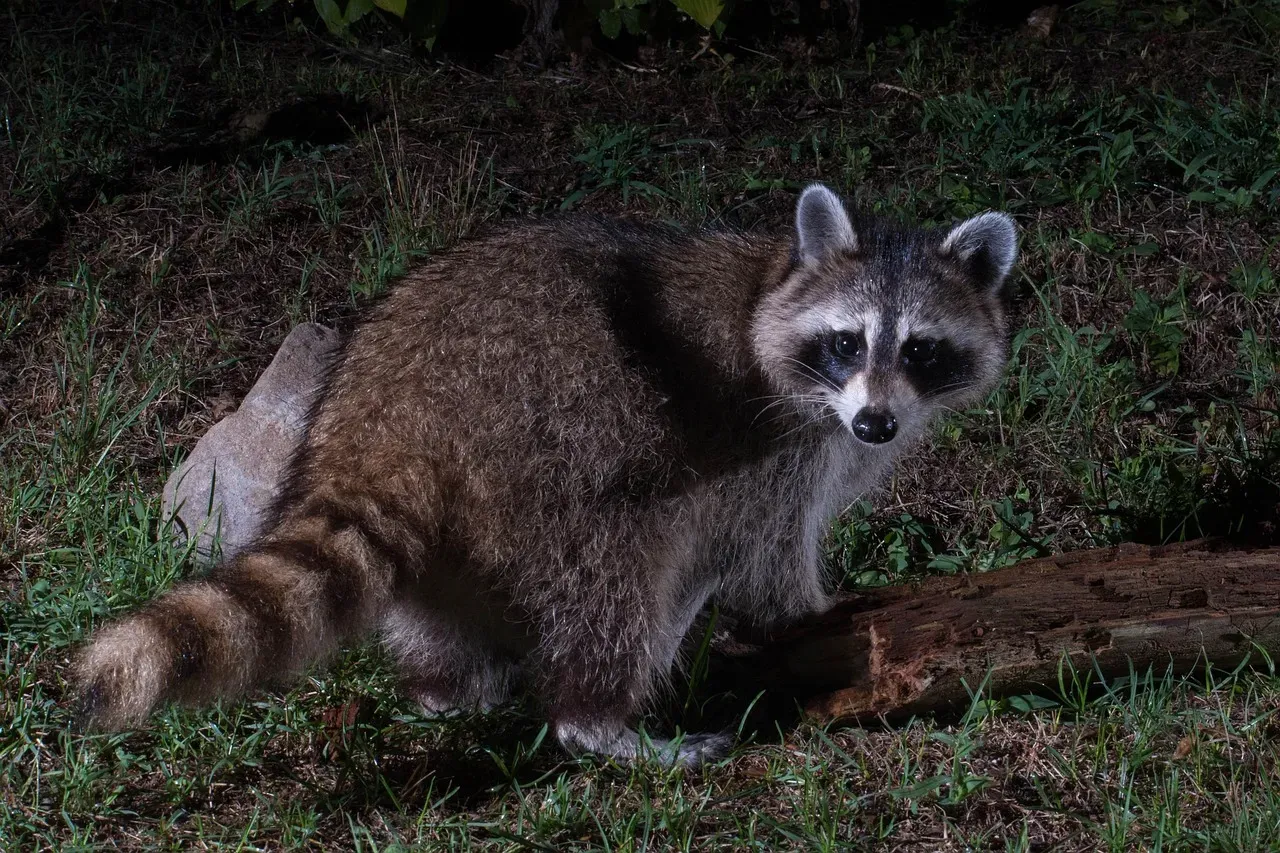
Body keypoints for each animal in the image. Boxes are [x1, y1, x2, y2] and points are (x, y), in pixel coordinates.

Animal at [74, 185, 1018, 766]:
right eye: (848, 342)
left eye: (921, 349)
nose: (876, 424)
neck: (774, 280)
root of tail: (387, 420)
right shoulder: (768, 436)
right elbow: (764, 555)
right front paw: (813, 608)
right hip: (556, 444)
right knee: (624, 569)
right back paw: (598, 720)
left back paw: (448, 689)